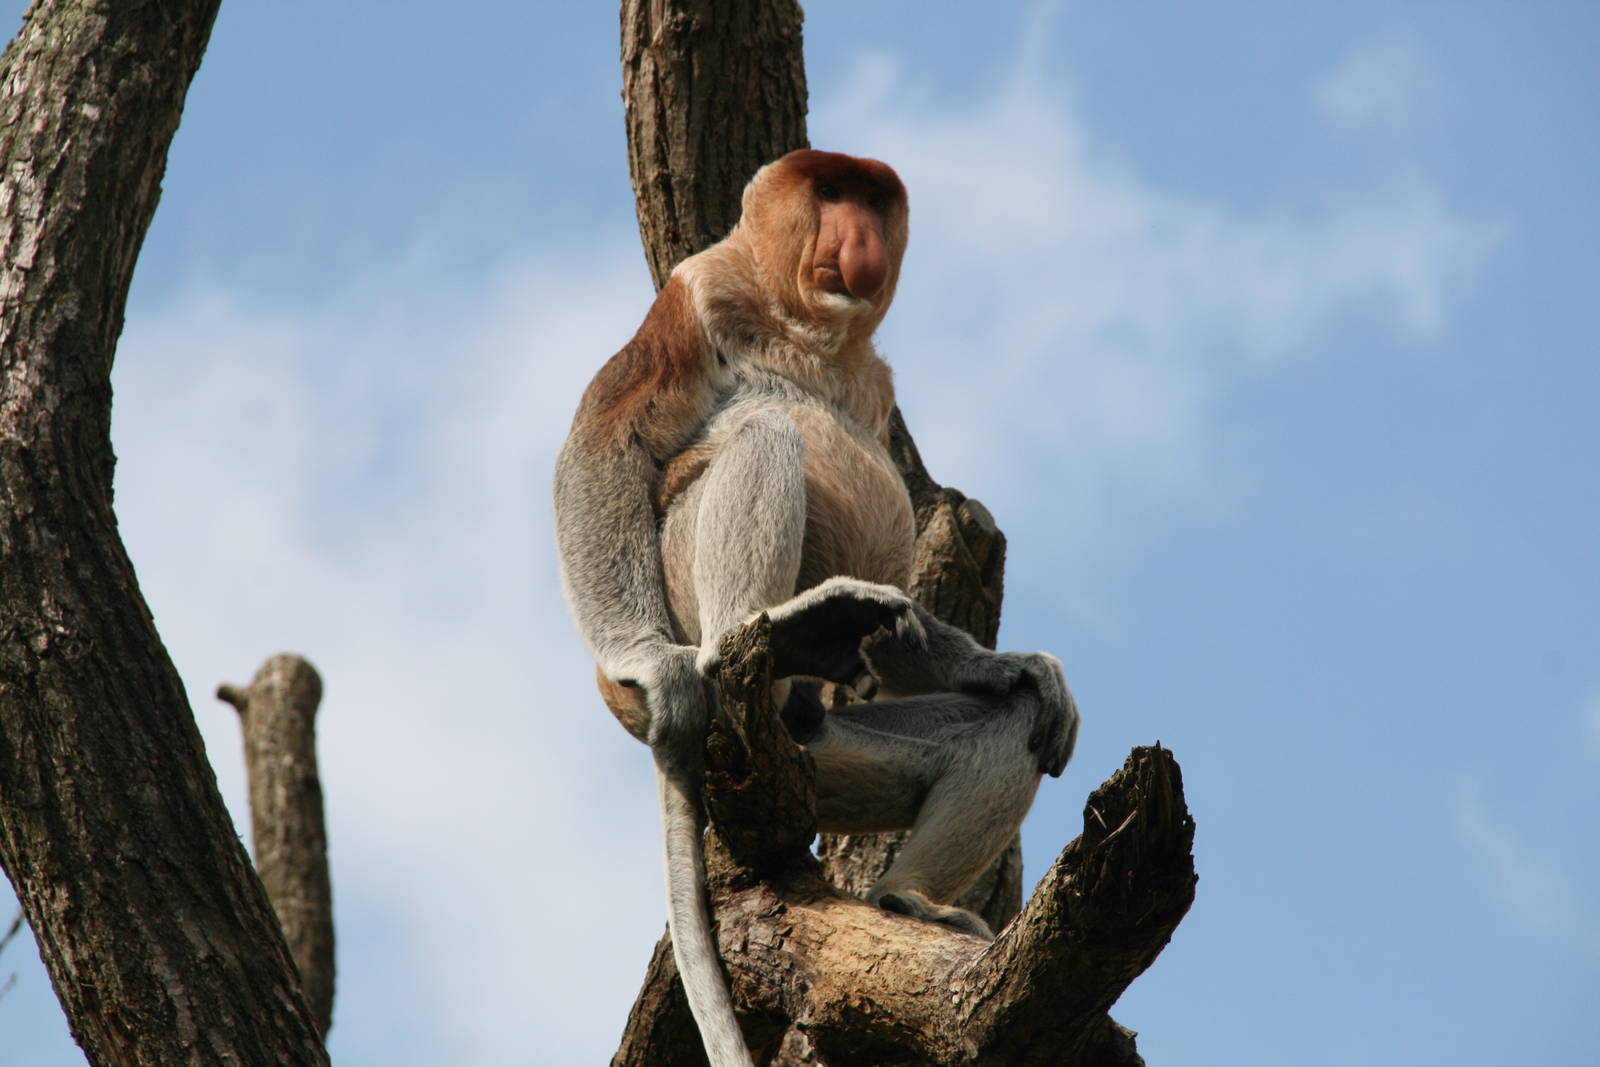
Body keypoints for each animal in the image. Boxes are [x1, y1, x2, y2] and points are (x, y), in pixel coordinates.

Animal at [553, 150, 1079, 1067]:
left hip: (828, 755)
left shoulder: (877, 383)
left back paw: (910, 897)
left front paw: (1019, 666)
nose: (858, 238)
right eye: (830, 194)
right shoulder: (697, 292)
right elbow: (607, 442)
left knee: (1005, 727)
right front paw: (646, 661)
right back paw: (755, 639)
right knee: (764, 431)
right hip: (688, 592)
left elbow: (925, 633)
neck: (808, 331)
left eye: (872, 199)